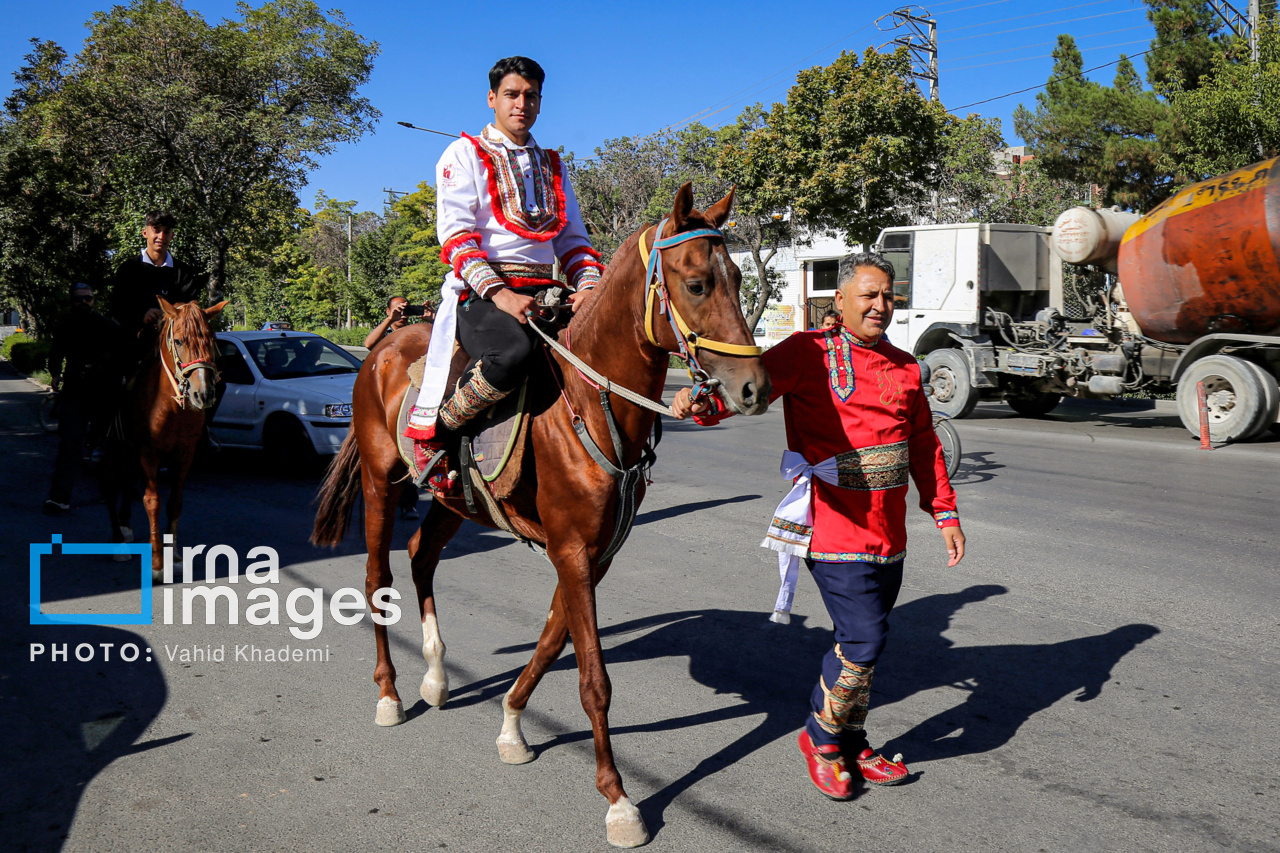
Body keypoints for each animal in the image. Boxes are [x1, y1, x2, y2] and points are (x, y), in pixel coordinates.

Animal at [104, 297, 227, 578]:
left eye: (211, 339)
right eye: (179, 341)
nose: (203, 394)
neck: (171, 406)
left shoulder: (184, 454)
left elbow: (175, 503)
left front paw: (176, 557)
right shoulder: (149, 453)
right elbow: (152, 501)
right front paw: (158, 564)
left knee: (127, 480)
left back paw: (125, 526)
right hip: (112, 447)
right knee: (110, 487)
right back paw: (117, 541)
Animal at [311, 185, 768, 845]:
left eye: (738, 276)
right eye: (698, 284)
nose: (754, 387)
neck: (590, 403)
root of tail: (380, 350)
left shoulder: (594, 553)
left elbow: (553, 641)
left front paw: (510, 725)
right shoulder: (572, 550)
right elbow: (594, 678)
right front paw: (619, 800)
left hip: (455, 501)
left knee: (421, 556)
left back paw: (435, 675)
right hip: (378, 484)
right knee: (378, 579)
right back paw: (391, 695)